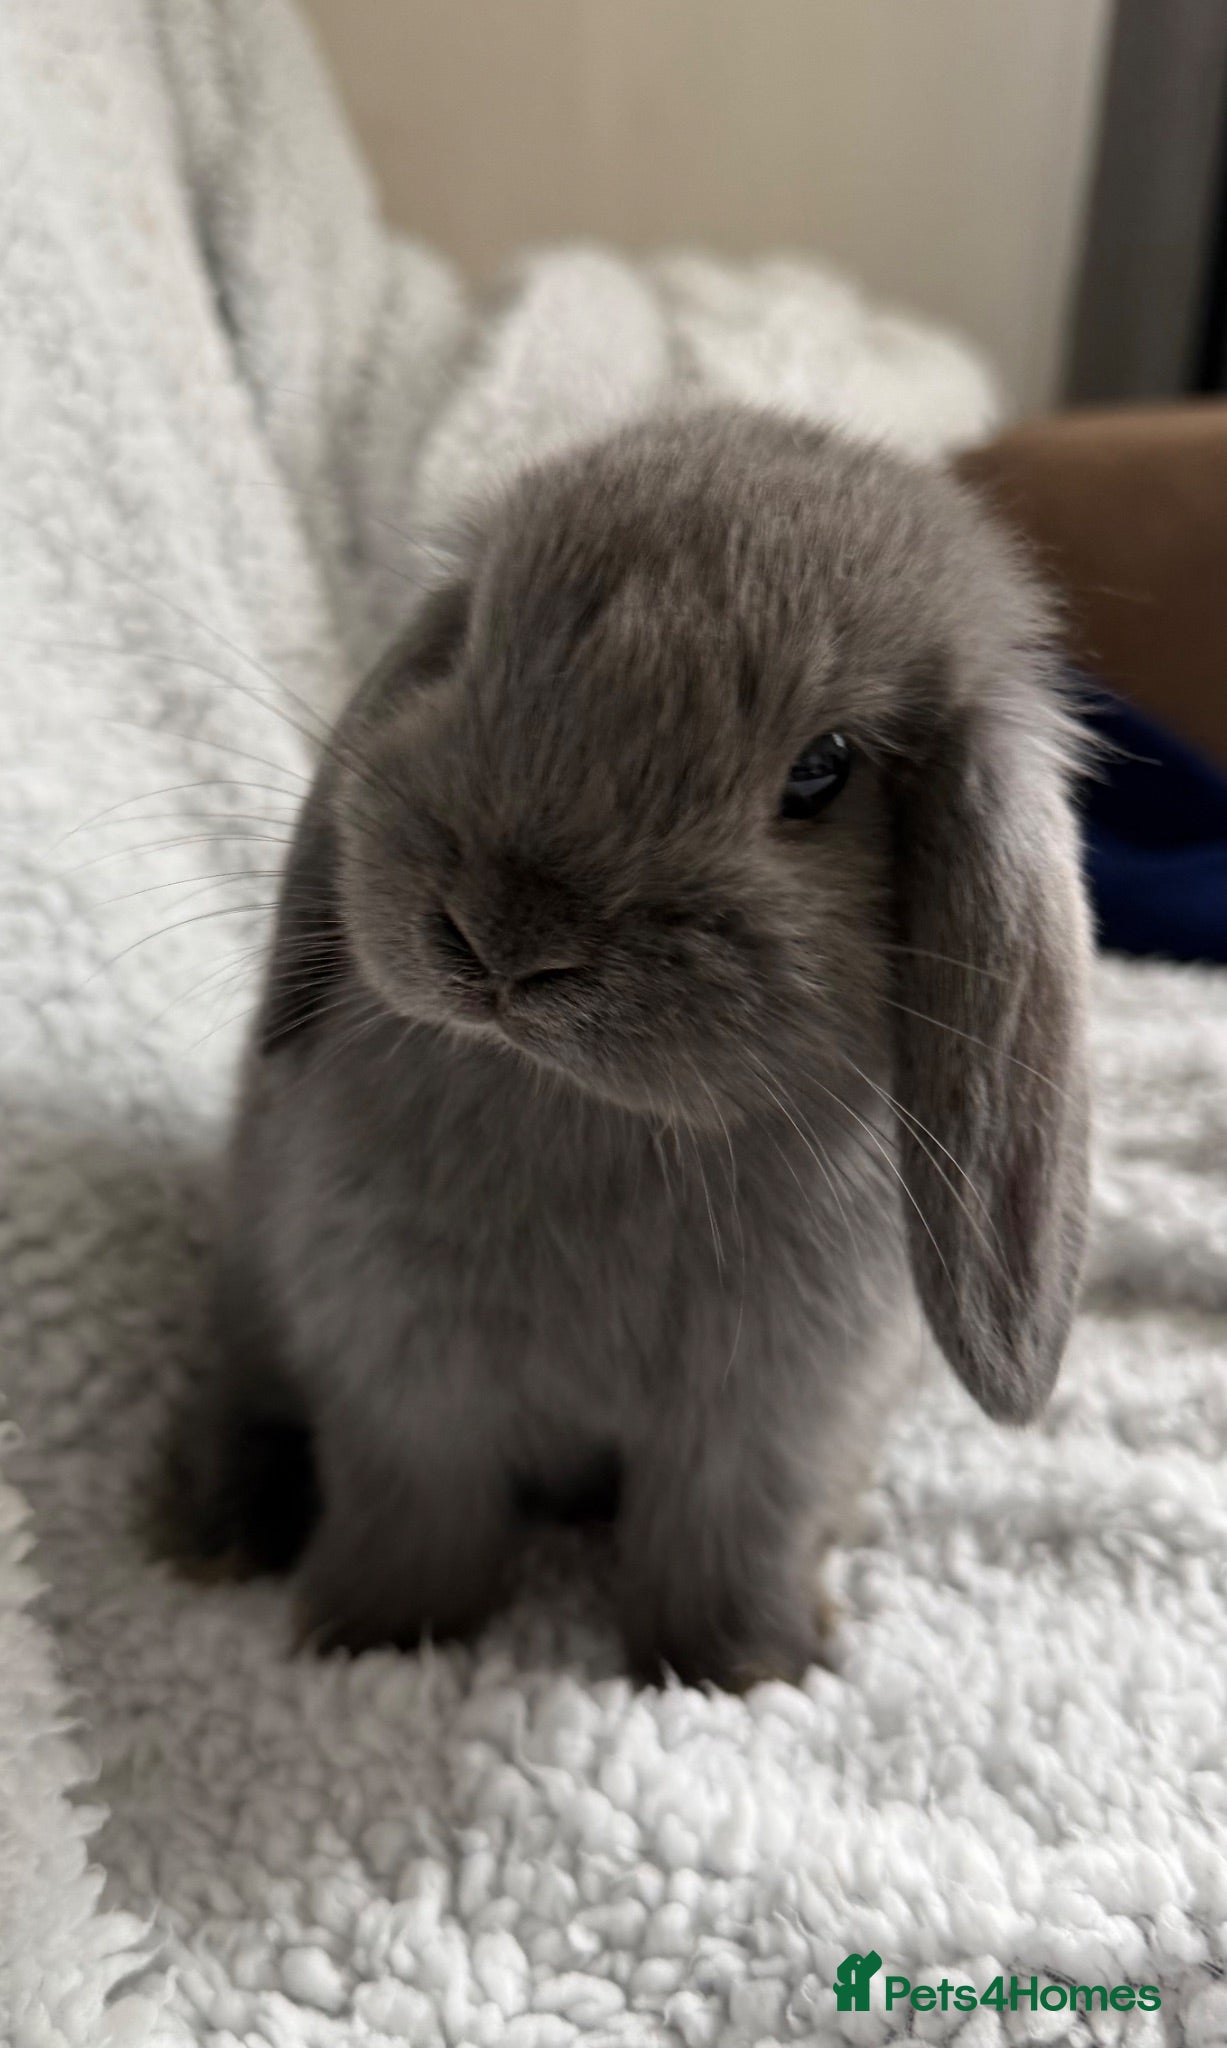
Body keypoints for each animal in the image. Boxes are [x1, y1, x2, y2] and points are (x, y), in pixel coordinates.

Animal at [157, 407, 1092, 1691]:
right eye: (472, 649)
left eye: (823, 768)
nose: (503, 935)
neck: (601, 1120)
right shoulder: (402, 1378)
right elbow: (414, 1526)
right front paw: (373, 1647)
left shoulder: (766, 1426)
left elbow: (721, 1551)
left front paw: (743, 1676)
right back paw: (214, 1531)